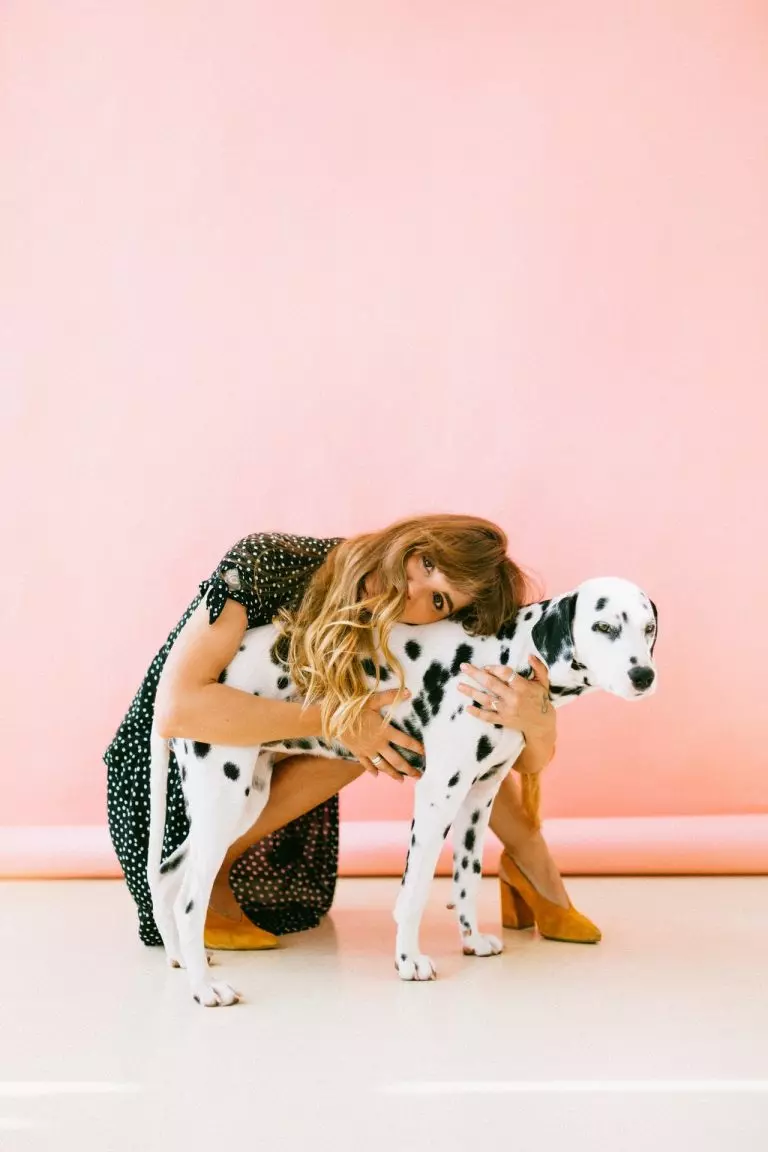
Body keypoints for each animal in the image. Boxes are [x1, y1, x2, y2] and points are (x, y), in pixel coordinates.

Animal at [147, 576, 658, 1009]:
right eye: (604, 626)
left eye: (648, 628)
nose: (644, 676)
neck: (503, 655)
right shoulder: (438, 795)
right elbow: (414, 892)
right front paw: (409, 961)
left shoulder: (479, 799)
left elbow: (468, 878)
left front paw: (472, 940)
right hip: (223, 798)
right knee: (189, 901)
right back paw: (204, 988)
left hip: (240, 804)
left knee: (168, 873)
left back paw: (180, 960)